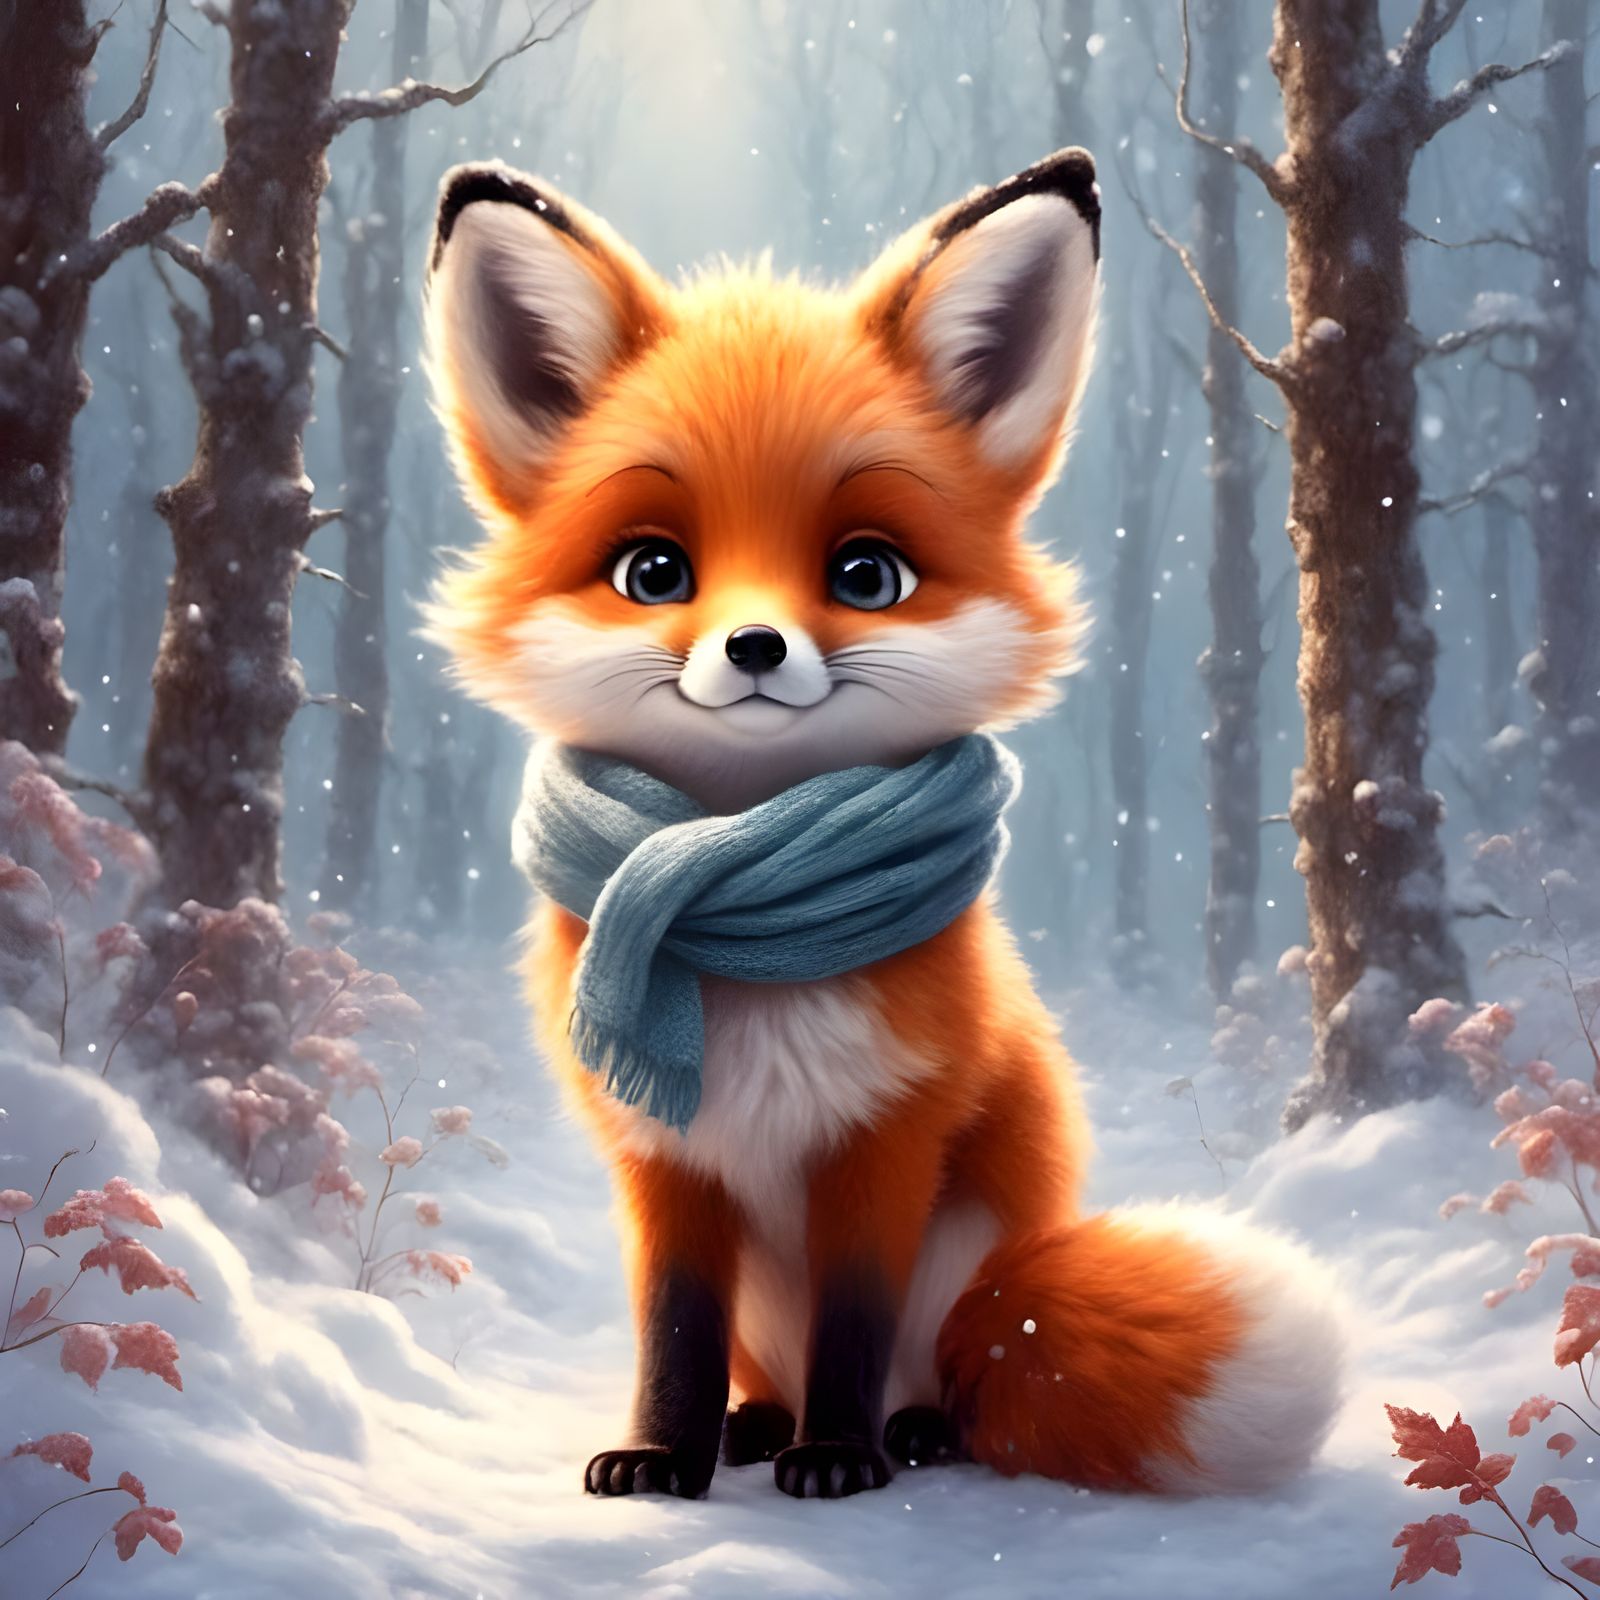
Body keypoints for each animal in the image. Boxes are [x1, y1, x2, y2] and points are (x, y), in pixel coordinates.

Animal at [420, 147, 1344, 1502]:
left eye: (866, 575)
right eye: (653, 571)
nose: (754, 646)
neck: (743, 910)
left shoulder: (886, 1139)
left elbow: (851, 1328)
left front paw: (839, 1456)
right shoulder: (668, 1163)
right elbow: (672, 1332)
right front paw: (662, 1452)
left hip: (966, 1262)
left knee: (944, 1377)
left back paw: (908, 1433)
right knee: (759, 1362)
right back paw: (752, 1427)